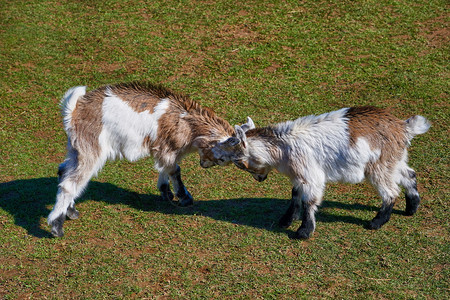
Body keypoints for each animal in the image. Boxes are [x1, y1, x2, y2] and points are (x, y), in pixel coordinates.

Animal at [49, 82, 255, 237]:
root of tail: (74, 111)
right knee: (70, 183)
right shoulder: (168, 148)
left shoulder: (165, 150)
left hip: (75, 148)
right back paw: (56, 226)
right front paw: (184, 198)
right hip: (91, 146)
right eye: (222, 159)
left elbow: (166, 168)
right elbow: (175, 170)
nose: (204, 165)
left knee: (63, 169)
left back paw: (70, 211)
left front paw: (166, 192)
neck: (187, 123)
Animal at [213, 106, 430, 240]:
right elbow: (295, 195)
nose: (259, 179)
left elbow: (309, 200)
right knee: (409, 175)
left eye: (239, 163)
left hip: (379, 165)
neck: (283, 146)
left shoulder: (309, 173)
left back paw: (376, 222)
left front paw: (303, 231)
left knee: (391, 192)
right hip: (394, 159)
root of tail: (403, 127)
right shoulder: (298, 174)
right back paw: (411, 208)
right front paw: (286, 220)